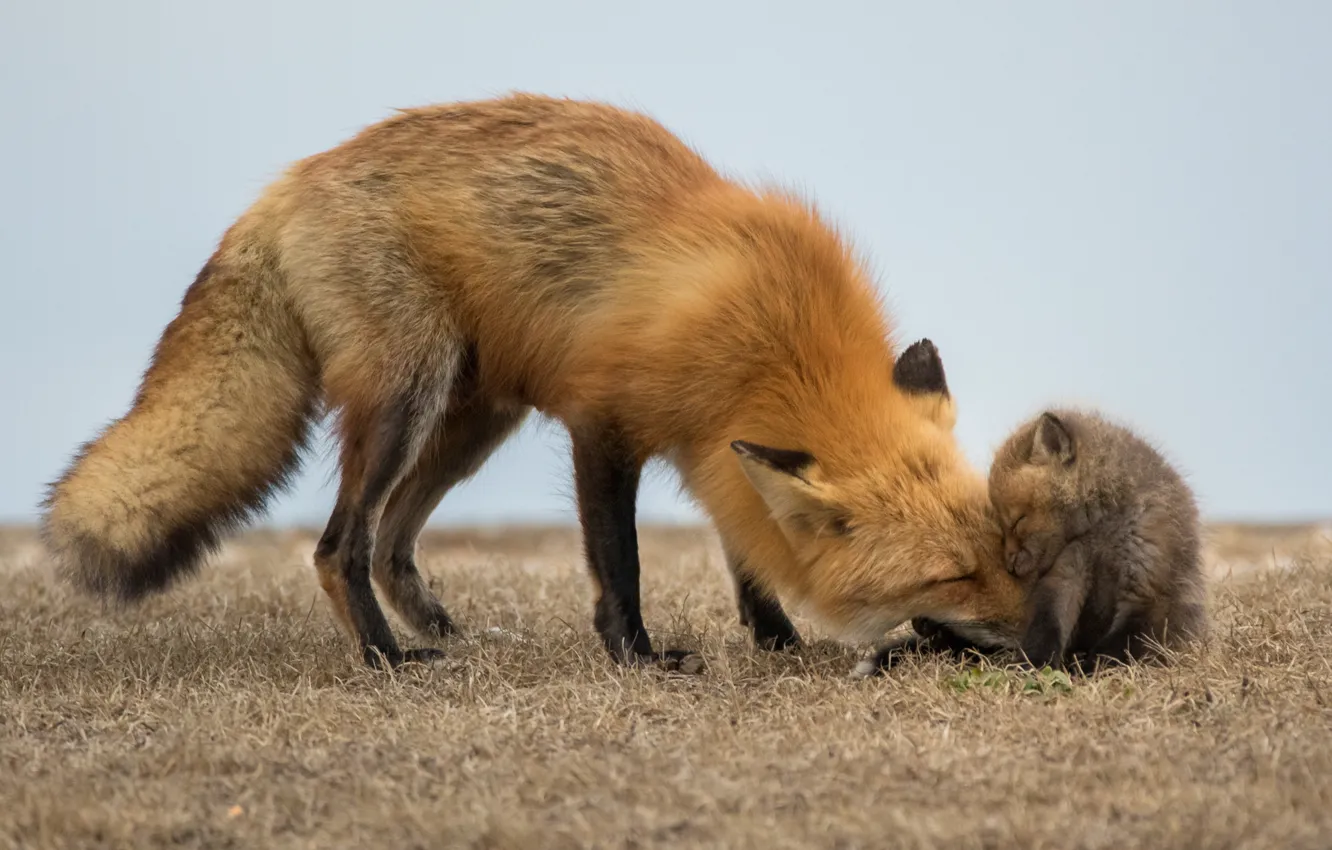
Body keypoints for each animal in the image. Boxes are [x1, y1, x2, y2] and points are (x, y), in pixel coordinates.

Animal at [41, 93, 1027, 671]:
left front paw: (774, 636)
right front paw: (635, 657)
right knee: (339, 546)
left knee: (392, 543)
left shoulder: (715, 446)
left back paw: (440, 629)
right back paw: (388, 658)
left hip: (475, 419)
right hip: (408, 398)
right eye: (950, 575)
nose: (1051, 638)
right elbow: (620, 562)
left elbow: (744, 546)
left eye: (1005, 551)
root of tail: (286, 184)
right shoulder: (606, 425)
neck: (771, 334)